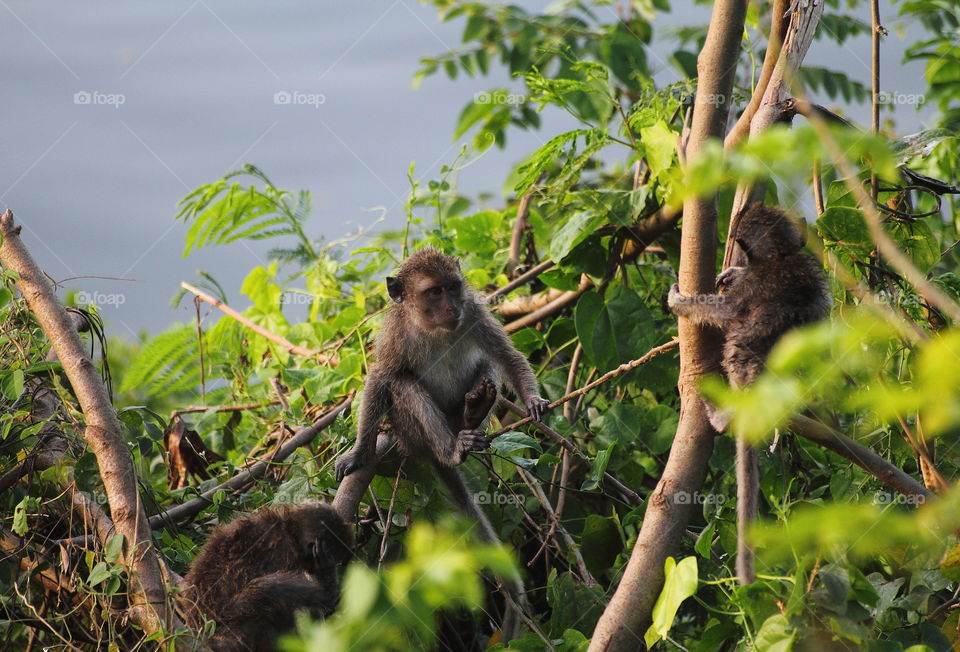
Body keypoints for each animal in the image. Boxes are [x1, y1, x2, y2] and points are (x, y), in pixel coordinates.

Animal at [668, 205, 832, 584]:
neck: (781, 256)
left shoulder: (751, 286)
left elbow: (725, 309)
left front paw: (679, 301)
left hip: (745, 365)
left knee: (736, 344)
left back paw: (720, 417)